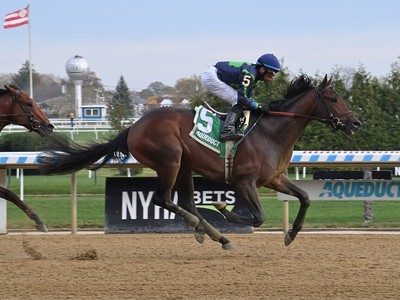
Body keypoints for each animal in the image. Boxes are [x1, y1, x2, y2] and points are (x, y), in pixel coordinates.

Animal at [38, 75, 362, 248]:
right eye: (334, 99)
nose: (355, 123)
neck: (272, 131)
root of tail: (134, 126)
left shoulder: (274, 178)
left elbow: (305, 197)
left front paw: (291, 234)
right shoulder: (244, 182)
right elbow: (257, 217)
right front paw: (225, 209)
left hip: (184, 166)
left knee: (186, 203)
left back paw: (214, 235)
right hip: (170, 161)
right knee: (163, 200)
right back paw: (207, 228)